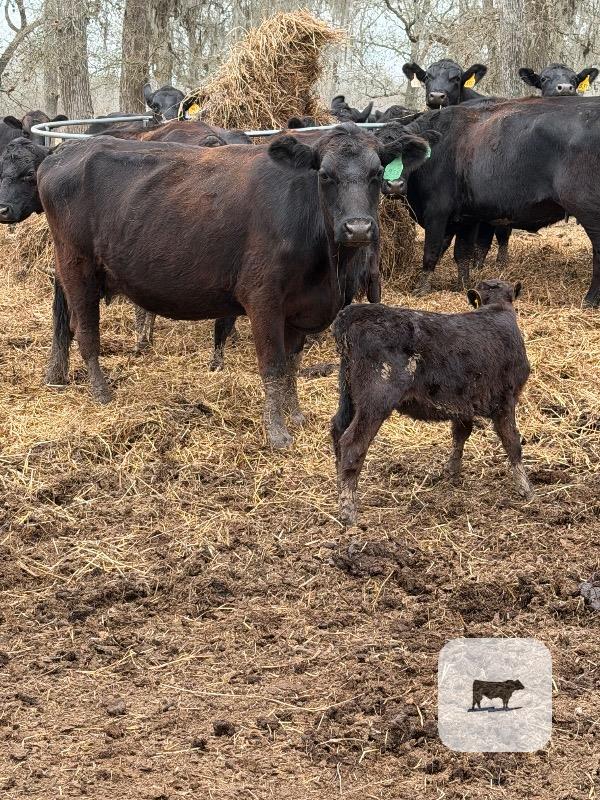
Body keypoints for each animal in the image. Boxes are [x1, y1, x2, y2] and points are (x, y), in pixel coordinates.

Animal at [38, 124, 430, 448]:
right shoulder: (263, 299)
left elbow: (292, 363)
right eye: (325, 175)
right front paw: (277, 432)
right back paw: (101, 394)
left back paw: (57, 375)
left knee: (67, 323)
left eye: (377, 174)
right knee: (86, 331)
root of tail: (65, 151)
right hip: (77, 265)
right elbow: (273, 365)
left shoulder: (299, 308)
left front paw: (296, 415)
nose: (358, 228)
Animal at [330, 280, 532, 526]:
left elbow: (461, 434)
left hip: (348, 394)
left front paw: (452, 473)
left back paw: (341, 490)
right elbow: (512, 441)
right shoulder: (506, 399)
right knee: (352, 442)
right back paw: (348, 511)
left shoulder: (462, 403)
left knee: (338, 431)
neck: (497, 308)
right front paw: (525, 488)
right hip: (376, 399)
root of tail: (353, 312)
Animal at [404, 96, 600, 307]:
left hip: (589, 212)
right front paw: (462, 285)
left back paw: (590, 300)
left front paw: (421, 288)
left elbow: (432, 250)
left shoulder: (437, 212)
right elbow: (460, 252)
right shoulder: (465, 217)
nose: (393, 184)